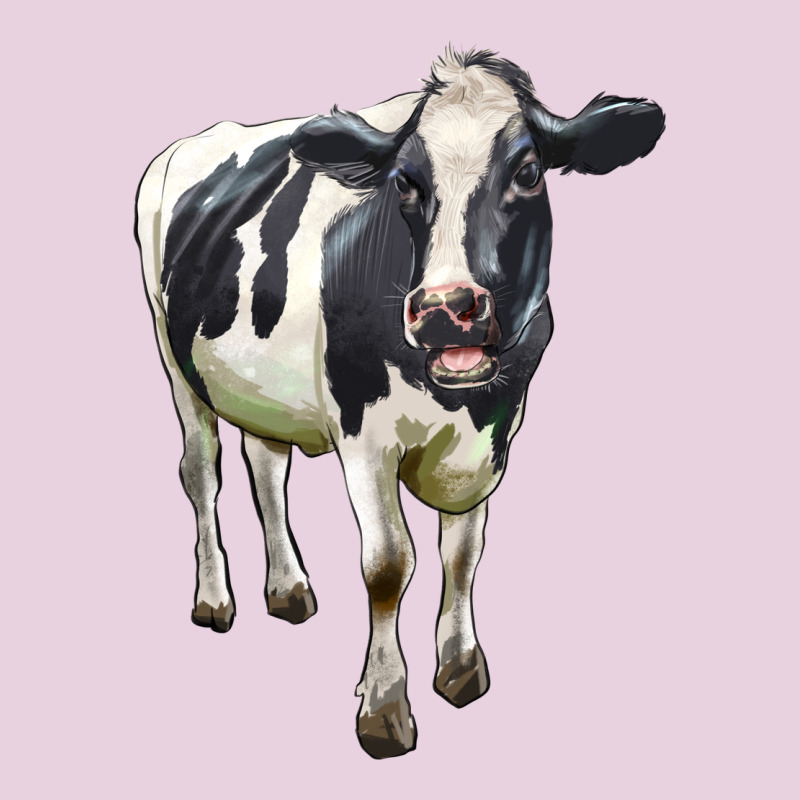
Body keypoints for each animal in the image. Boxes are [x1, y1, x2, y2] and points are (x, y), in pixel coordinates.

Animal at [135, 48, 664, 759]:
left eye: (528, 172)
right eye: (406, 183)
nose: (445, 308)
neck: (460, 403)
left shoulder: (495, 437)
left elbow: (463, 552)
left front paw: (461, 667)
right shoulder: (363, 433)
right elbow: (389, 564)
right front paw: (384, 707)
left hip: (261, 387)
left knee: (267, 468)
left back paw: (288, 588)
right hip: (175, 363)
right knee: (201, 474)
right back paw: (215, 598)